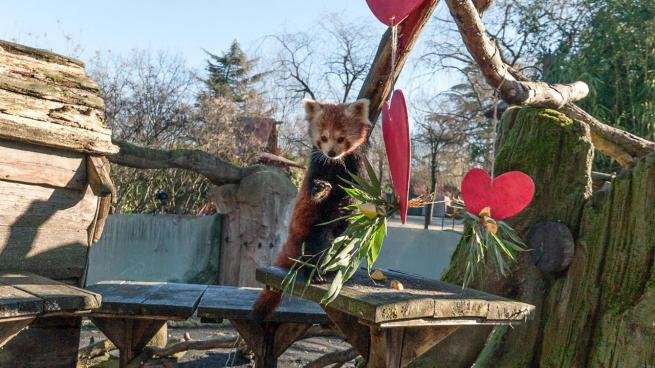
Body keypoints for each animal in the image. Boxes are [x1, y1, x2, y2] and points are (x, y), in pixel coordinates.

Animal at [252, 98, 372, 322]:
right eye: (323, 137)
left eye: (341, 138)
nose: (331, 152)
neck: (336, 163)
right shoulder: (317, 165)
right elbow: (315, 189)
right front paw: (321, 190)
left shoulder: (357, 166)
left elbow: (357, 193)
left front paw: (349, 199)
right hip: (309, 231)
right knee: (319, 243)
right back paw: (313, 271)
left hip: (343, 237)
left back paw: (332, 269)